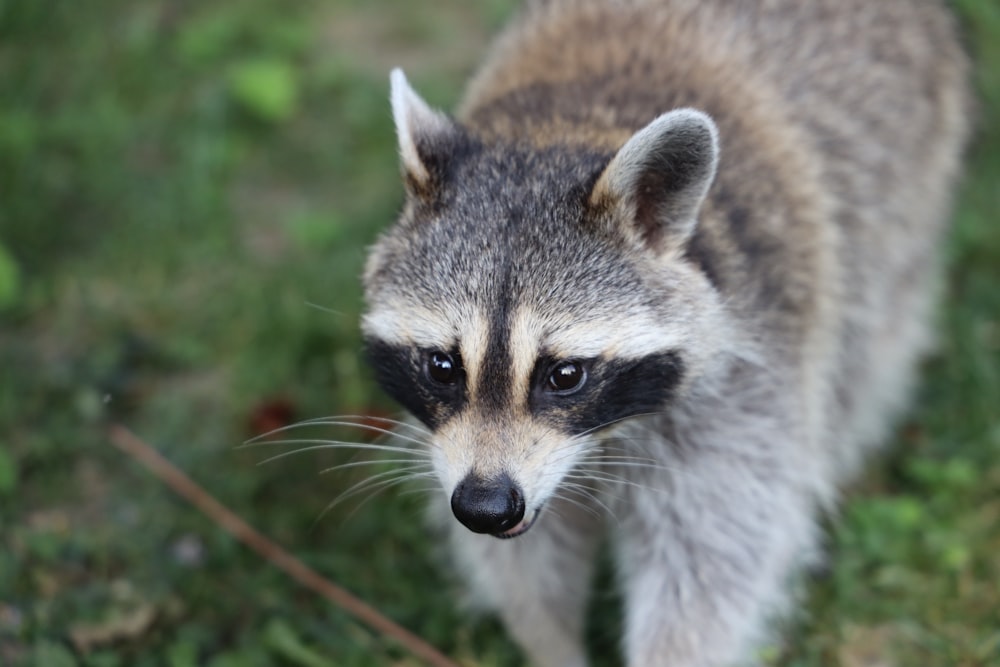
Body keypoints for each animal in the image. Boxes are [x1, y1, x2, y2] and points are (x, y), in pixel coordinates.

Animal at [358, 0, 968, 664]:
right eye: (442, 366)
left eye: (565, 375)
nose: (485, 508)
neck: (561, 131)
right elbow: (529, 565)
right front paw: (551, 644)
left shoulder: (748, 375)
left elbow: (715, 559)